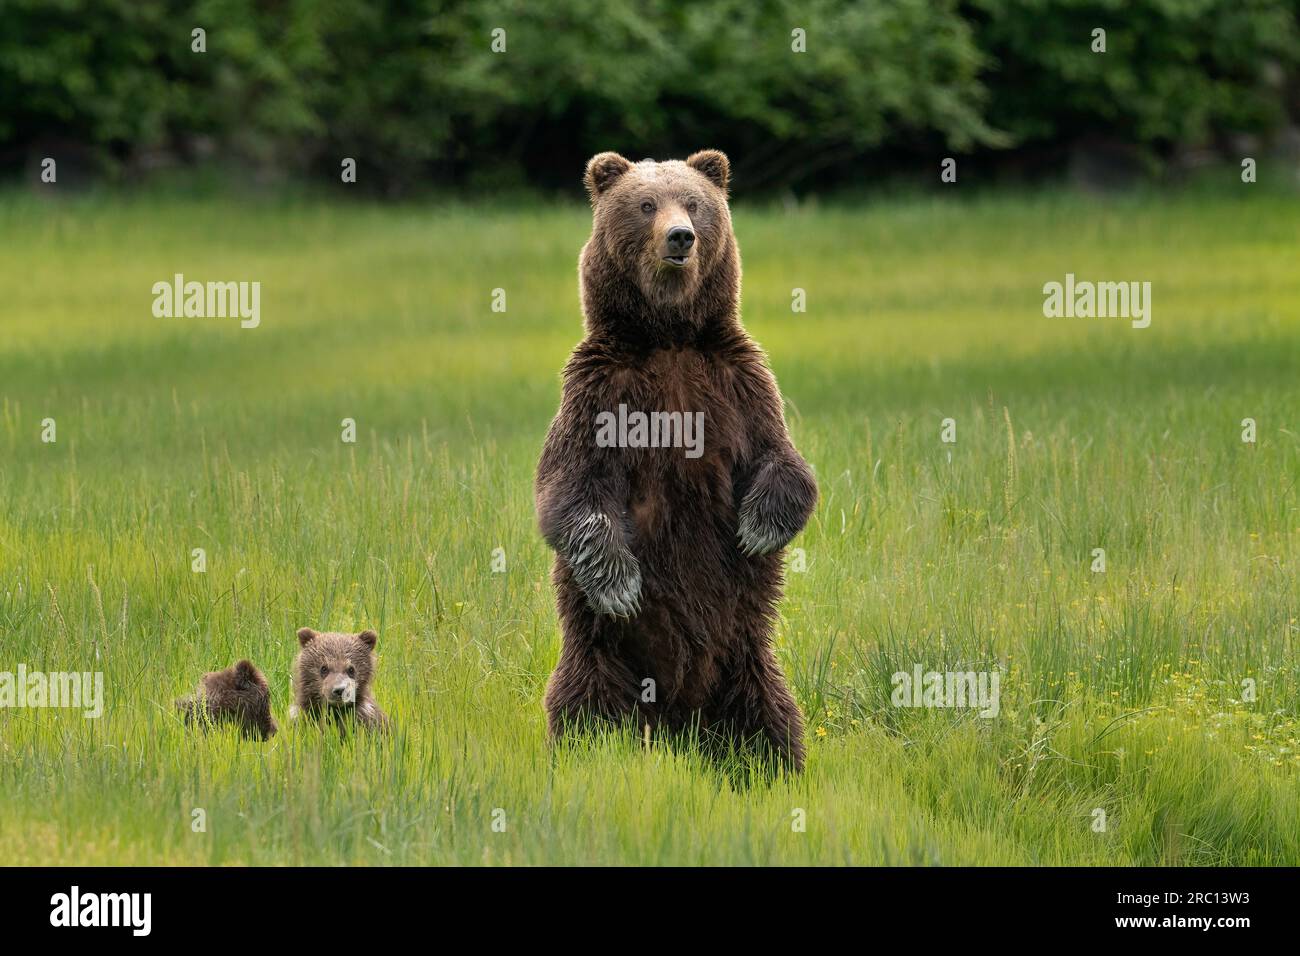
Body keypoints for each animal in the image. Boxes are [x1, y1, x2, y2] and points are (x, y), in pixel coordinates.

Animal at [536, 149, 818, 772]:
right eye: (645, 205)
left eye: (693, 202)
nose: (680, 236)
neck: (667, 338)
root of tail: (676, 724)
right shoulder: (600, 391)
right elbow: (570, 490)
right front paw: (621, 583)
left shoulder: (738, 382)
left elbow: (783, 461)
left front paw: (757, 528)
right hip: (600, 657)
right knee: (584, 710)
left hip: (745, 659)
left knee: (769, 718)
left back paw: (775, 767)